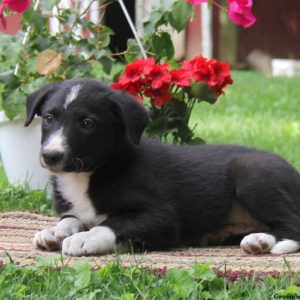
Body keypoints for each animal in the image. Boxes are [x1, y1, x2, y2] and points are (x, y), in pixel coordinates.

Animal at [24, 78, 300, 256]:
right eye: (48, 118)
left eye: (87, 124)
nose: (51, 156)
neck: (90, 174)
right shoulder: (73, 209)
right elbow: (70, 219)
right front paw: (54, 232)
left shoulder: (162, 216)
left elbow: (112, 223)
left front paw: (85, 238)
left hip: (252, 174)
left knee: (293, 222)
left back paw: (262, 241)